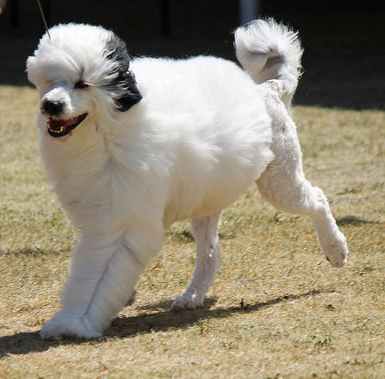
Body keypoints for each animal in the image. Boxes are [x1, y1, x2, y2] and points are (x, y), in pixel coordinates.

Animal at [26, 17, 348, 340]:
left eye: (82, 83)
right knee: (210, 253)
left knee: (317, 200)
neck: (108, 130)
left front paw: (75, 322)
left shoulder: (121, 222)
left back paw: (336, 250)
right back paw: (192, 296)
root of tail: (266, 89)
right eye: (49, 82)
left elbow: (96, 276)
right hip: (207, 201)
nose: (50, 105)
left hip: (279, 181)